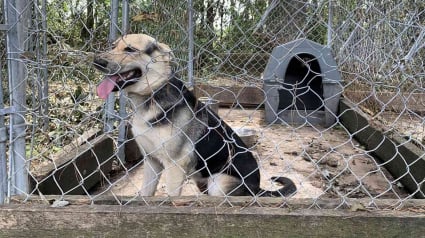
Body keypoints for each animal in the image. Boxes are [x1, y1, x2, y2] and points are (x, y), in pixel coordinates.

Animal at [93, 34, 294, 197]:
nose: (96, 62)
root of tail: (257, 188)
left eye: (130, 49)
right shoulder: (151, 162)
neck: (152, 95)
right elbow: (146, 195)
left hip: (218, 183)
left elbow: (171, 198)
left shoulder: (174, 166)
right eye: (113, 46)